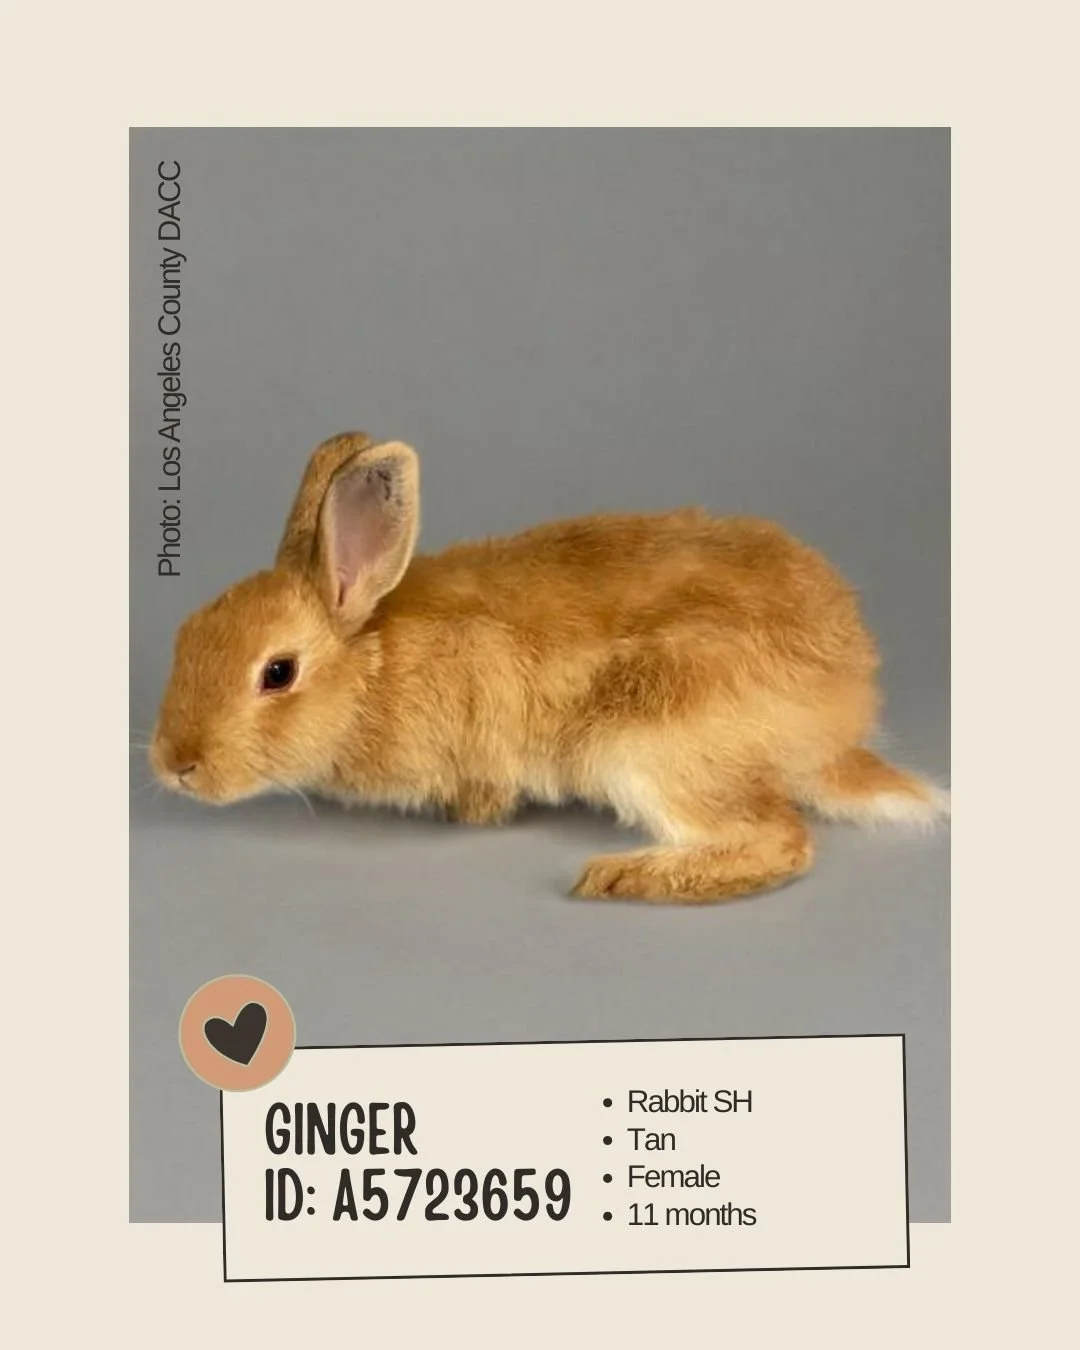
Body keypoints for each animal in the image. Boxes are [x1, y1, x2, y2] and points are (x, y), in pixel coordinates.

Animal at [149, 431, 949, 903]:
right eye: (187, 633)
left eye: (277, 673)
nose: (175, 765)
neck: (371, 662)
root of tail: (839, 724)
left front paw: (475, 814)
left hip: (642, 746)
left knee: (781, 839)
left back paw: (623, 876)